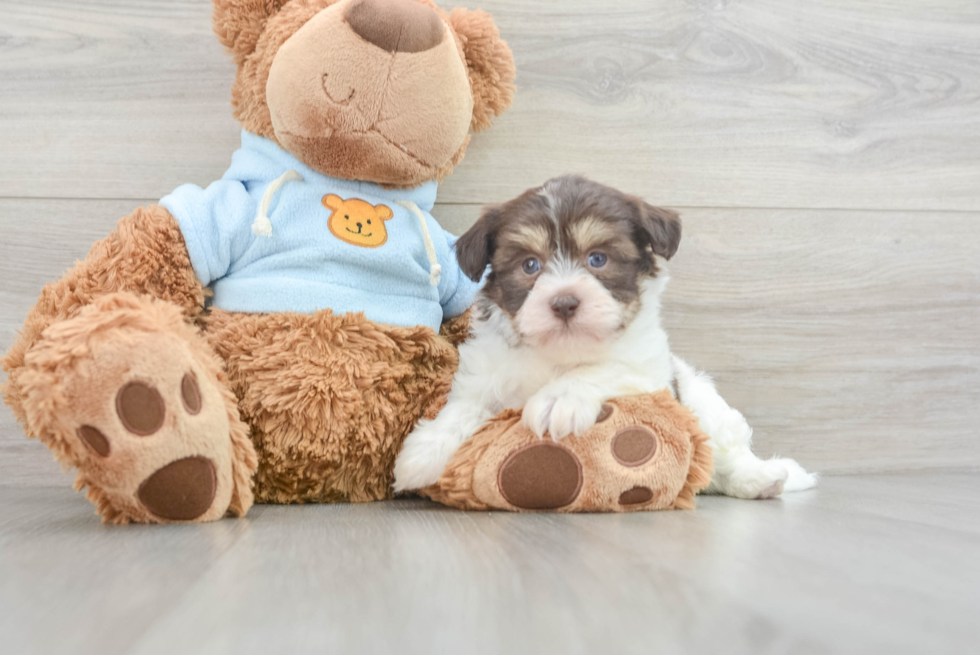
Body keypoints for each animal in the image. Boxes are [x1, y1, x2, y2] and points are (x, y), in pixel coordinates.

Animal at [394, 174, 816, 498]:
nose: (564, 302)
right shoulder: (486, 371)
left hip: (706, 406)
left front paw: (559, 399)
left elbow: (605, 369)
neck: (559, 354)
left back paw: (764, 478)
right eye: (530, 265)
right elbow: (465, 406)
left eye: (598, 259)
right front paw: (424, 452)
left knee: (723, 458)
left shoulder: (650, 374)